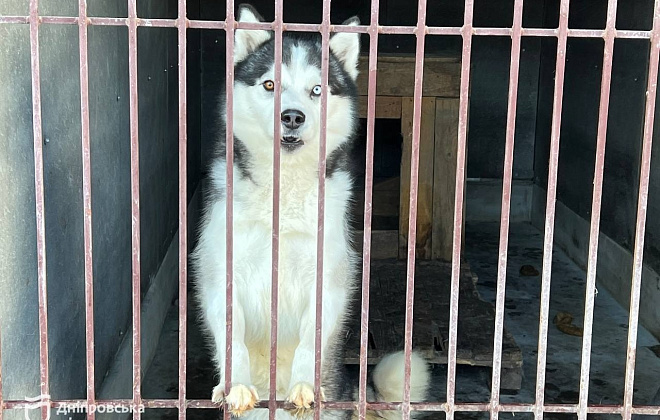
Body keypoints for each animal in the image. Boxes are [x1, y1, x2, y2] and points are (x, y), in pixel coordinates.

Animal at [191, 4, 430, 420]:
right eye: (270, 85)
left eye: (317, 90)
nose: (292, 116)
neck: (283, 195)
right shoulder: (220, 273)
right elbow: (232, 337)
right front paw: (236, 384)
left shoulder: (328, 278)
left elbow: (310, 339)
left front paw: (304, 384)